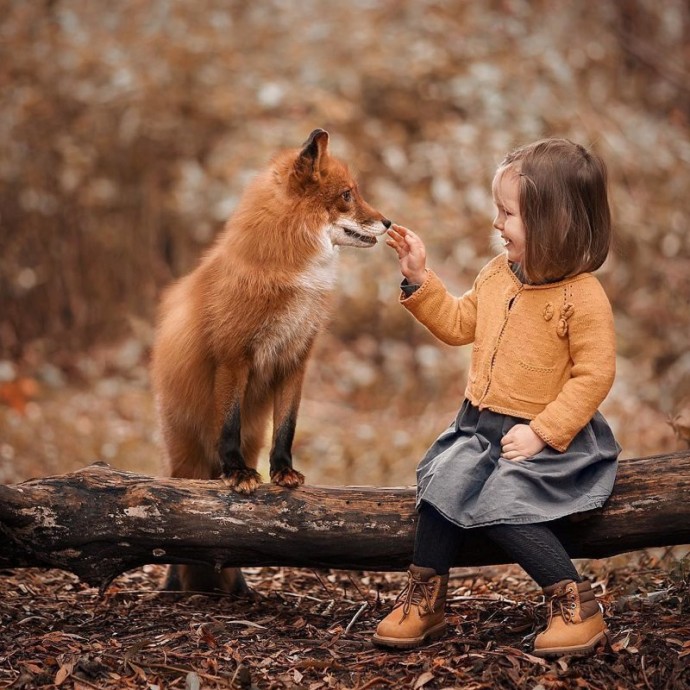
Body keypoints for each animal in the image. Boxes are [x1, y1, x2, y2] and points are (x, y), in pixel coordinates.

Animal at [150, 127, 390, 592]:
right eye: (347, 195)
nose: (388, 223)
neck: (290, 273)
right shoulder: (234, 357)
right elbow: (227, 425)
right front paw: (239, 473)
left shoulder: (295, 360)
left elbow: (288, 428)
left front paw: (283, 472)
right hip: (185, 461)